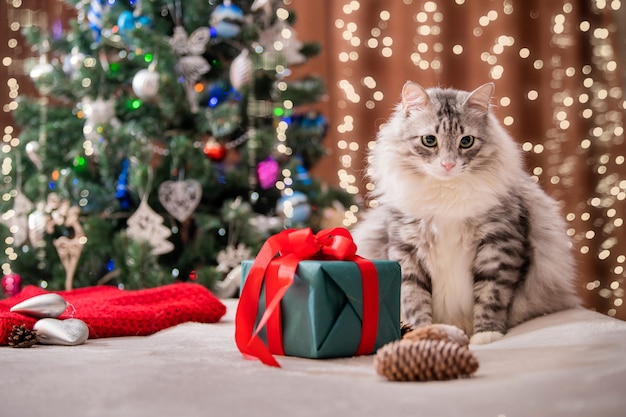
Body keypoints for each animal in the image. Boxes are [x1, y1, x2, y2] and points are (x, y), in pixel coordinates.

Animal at [352, 82, 580, 344]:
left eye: (466, 141)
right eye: (429, 140)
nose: (448, 165)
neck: (446, 196)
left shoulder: (498, 245)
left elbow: (492, 295)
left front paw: (486, 335)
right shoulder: (406, 250)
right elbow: (414, 300)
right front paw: (422, 334)